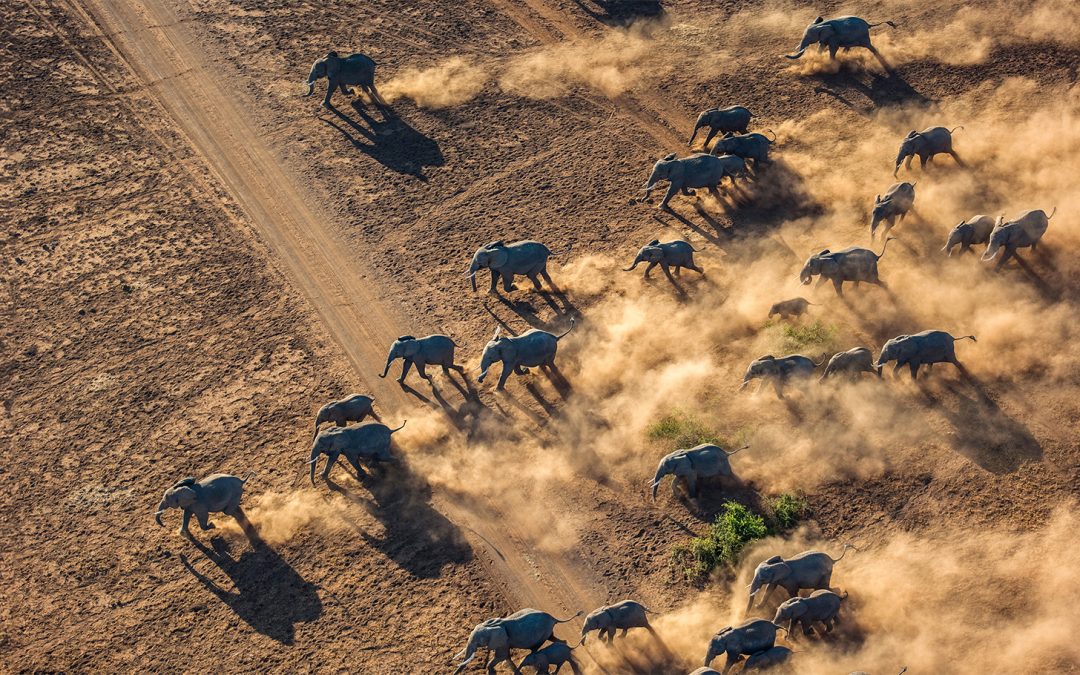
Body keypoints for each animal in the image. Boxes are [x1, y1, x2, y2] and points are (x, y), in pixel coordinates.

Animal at [453, 608, 583, 675]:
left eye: (478, 643)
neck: (490, 625)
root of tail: (553, 617)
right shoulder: (503, 642)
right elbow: (505, 656)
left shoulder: (503, 640)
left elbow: (501, 656)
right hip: (547, 632)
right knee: (554, 639)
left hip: (542, 634)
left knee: (535, 648)